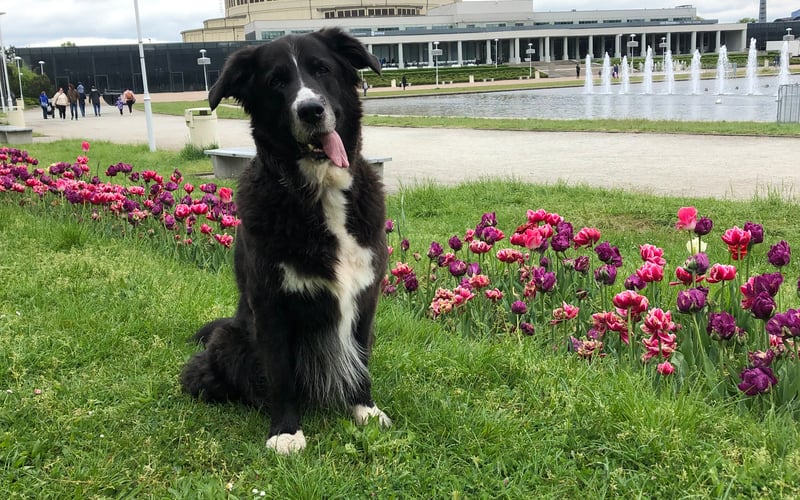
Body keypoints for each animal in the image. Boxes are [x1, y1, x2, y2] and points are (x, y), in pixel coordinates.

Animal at [182, 29, 394, 456]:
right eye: (276, 82)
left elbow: (361, 359)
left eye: (322, 69)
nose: (311, 110)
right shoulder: (271, 305)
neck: (319, 191)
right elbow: (280, 373)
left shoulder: (366, 299)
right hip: (229, 340)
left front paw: (364, 409)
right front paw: (285, 431)